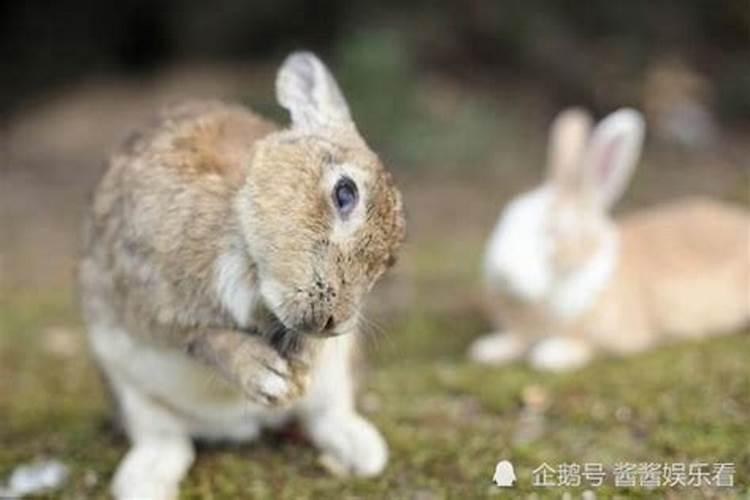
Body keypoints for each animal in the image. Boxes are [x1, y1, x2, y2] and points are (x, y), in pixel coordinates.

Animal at [78, 51, 406, 500]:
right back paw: (143, 482)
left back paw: (363, 452)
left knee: (323, 416)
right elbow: (204, 338)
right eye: (345, 193)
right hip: (127, 386)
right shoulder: (153, 301)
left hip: (335, 380)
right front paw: (269, 377)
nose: (332, 322)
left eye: (390, 260)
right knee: (167, 440)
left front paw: (300, 364)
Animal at [468, 107, 748, 374]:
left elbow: (586, 345)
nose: (502, 271)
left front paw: (553, 355)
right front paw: (489, 349)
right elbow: (514, 338)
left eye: (553, 231)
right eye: (506, 215)